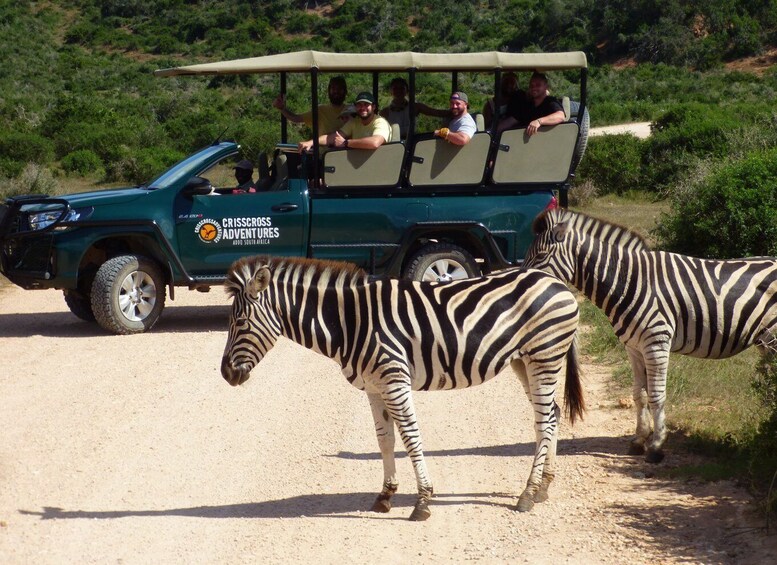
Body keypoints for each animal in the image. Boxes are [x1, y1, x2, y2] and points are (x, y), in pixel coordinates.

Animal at [218, 256, 584, 520]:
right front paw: (385, 495)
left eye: (240, 323)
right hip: (524, 362)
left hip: (544, 356)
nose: (225, 374)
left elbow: (410, 437)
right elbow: (385, 440)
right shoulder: (373, 387)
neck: (350, 324)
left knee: (544, 420)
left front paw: (422, 501)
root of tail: (557, 282)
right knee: (551, 414)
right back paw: (543, 487)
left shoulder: (394, 381)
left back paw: (527, 494)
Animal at [520, 207, 776, 462]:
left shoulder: (656, 343)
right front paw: (639, 440)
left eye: (541, 255)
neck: (629, 281)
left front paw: (656, 446)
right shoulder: (633, 346)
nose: (526, 282)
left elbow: (656, 394)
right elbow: (639, 394)